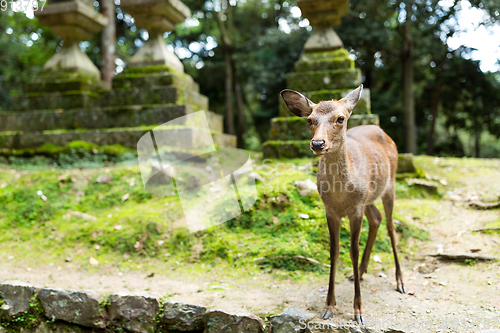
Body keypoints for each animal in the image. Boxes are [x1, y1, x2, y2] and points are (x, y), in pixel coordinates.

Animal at [282, 85, 406, 324]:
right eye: (310, 120)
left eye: (340, 118)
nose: (318, 144)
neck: (340, 195)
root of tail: (383, 131)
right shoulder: (331, 210)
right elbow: (334, 251)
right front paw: (328, 306)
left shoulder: (355, 209)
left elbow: (353, 250)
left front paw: (358, 311)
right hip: (368, 197)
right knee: (376, 218)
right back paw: (359, 273)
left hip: (390, 184)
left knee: (390, 226)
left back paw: (400, 282)